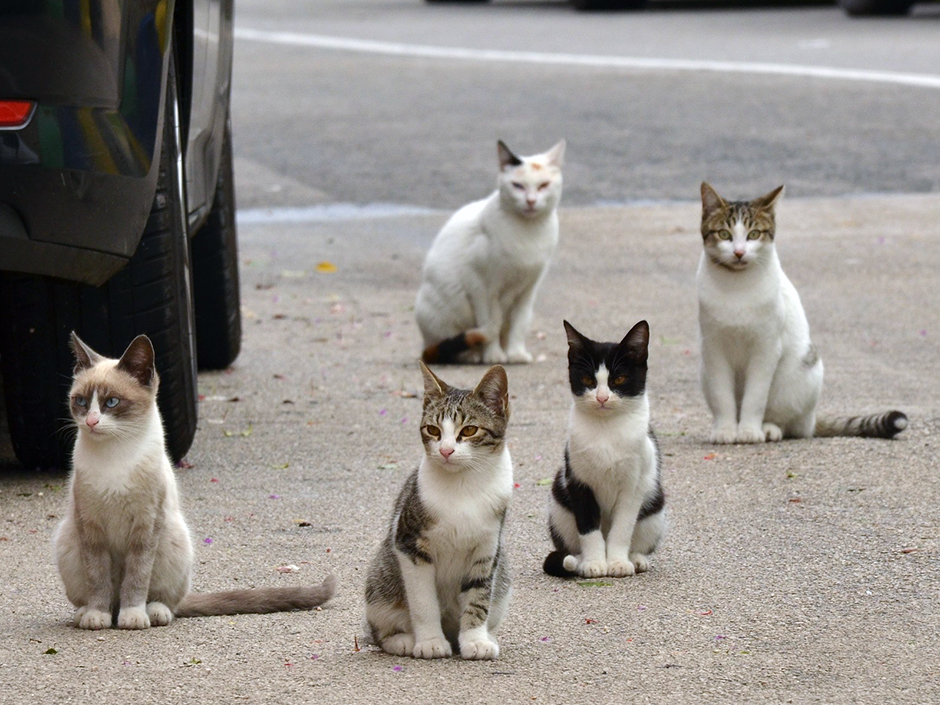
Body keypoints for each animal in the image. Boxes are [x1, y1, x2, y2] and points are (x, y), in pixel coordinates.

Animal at [54, 332, 334, 628]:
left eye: (111, 402)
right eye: (81, 401)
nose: (91, 422)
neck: (115, 456)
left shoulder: (146, 526)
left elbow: (137, 578)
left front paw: (133, 616)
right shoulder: (90, 527)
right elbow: (98, 578)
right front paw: (98, 614)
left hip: (174, 538)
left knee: (167, 601)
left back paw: (151, 613)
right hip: (67, 540)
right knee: (102, 595)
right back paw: (89, 612)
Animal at [368, 364, 516, 660]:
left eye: (469, 430)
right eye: (432, 430)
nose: (446, 450)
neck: (464, 485)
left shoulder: (487, 549)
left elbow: (479, 596)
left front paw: (475, 640)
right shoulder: (409, 545)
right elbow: (423, 601)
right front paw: (429, 641)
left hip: (503, 578)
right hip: (380, 583)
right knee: (380, 630)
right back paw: (402, 640)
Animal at [416, 140, 564, 366]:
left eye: (543, 185)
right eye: (518, 186)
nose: (530, 201)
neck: (528, 232)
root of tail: (424, 345)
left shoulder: (528, 288)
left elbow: (519, 323)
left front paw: (516, 353)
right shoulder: (481, 287)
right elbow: (490, 322)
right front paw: (493, 355)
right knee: (449, 344)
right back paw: (471, 355)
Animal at [540, 322, 664, 580]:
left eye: (619, 379)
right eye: (587, 379)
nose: (602, 397)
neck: (606, 430)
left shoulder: (634, 485)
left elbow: (623, 527)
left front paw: (617, 562)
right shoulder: (577, 480)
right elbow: (588, 527)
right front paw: (594, 562)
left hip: (655, 506)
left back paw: (636, 558)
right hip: (558, 504)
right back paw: (577, 561)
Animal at [692, 184, 908, 442]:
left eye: (754, 234)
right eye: (724, 234)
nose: (739, 252)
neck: (736, 286)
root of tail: (812, 419)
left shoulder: (766, 347)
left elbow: (755, 397)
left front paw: (749, 431)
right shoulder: (714, 347)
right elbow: (722, 396)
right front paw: (725, 430)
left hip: (800, 374)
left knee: (791, 423)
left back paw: (769, 428)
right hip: (704, 371)